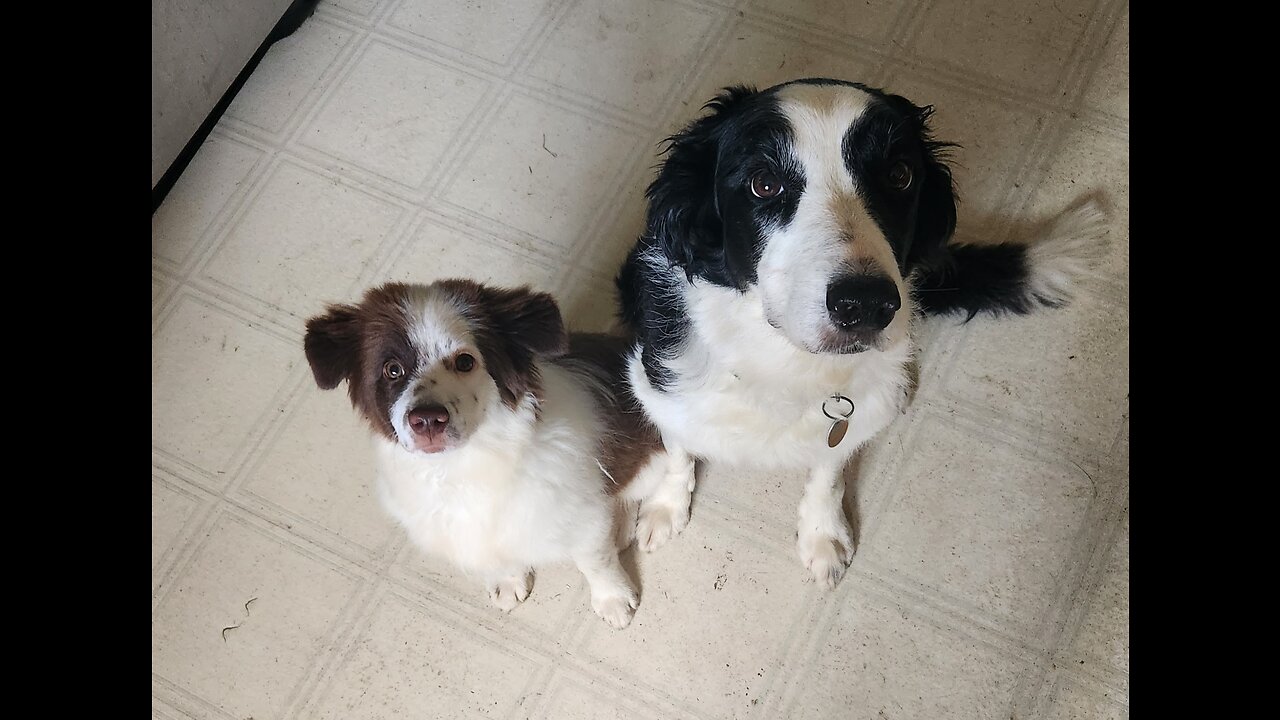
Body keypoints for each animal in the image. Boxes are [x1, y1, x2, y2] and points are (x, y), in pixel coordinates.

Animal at [304, 278, 675, 625]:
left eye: (465, 362)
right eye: (392, 369)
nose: (427, 420)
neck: (462, 469)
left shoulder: (582, 517)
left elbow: (594, 561)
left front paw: (613, 598)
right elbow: (492, 556)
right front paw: (507, 580)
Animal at [614, 77, 1105, 584]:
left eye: (899, 175)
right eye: (764, 184)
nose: (865, 304)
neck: (784, 359)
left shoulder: (849, 418)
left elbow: (828, 472)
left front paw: (822, 534)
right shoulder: (660, 387)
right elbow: (678, 449)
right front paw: (666, 506)